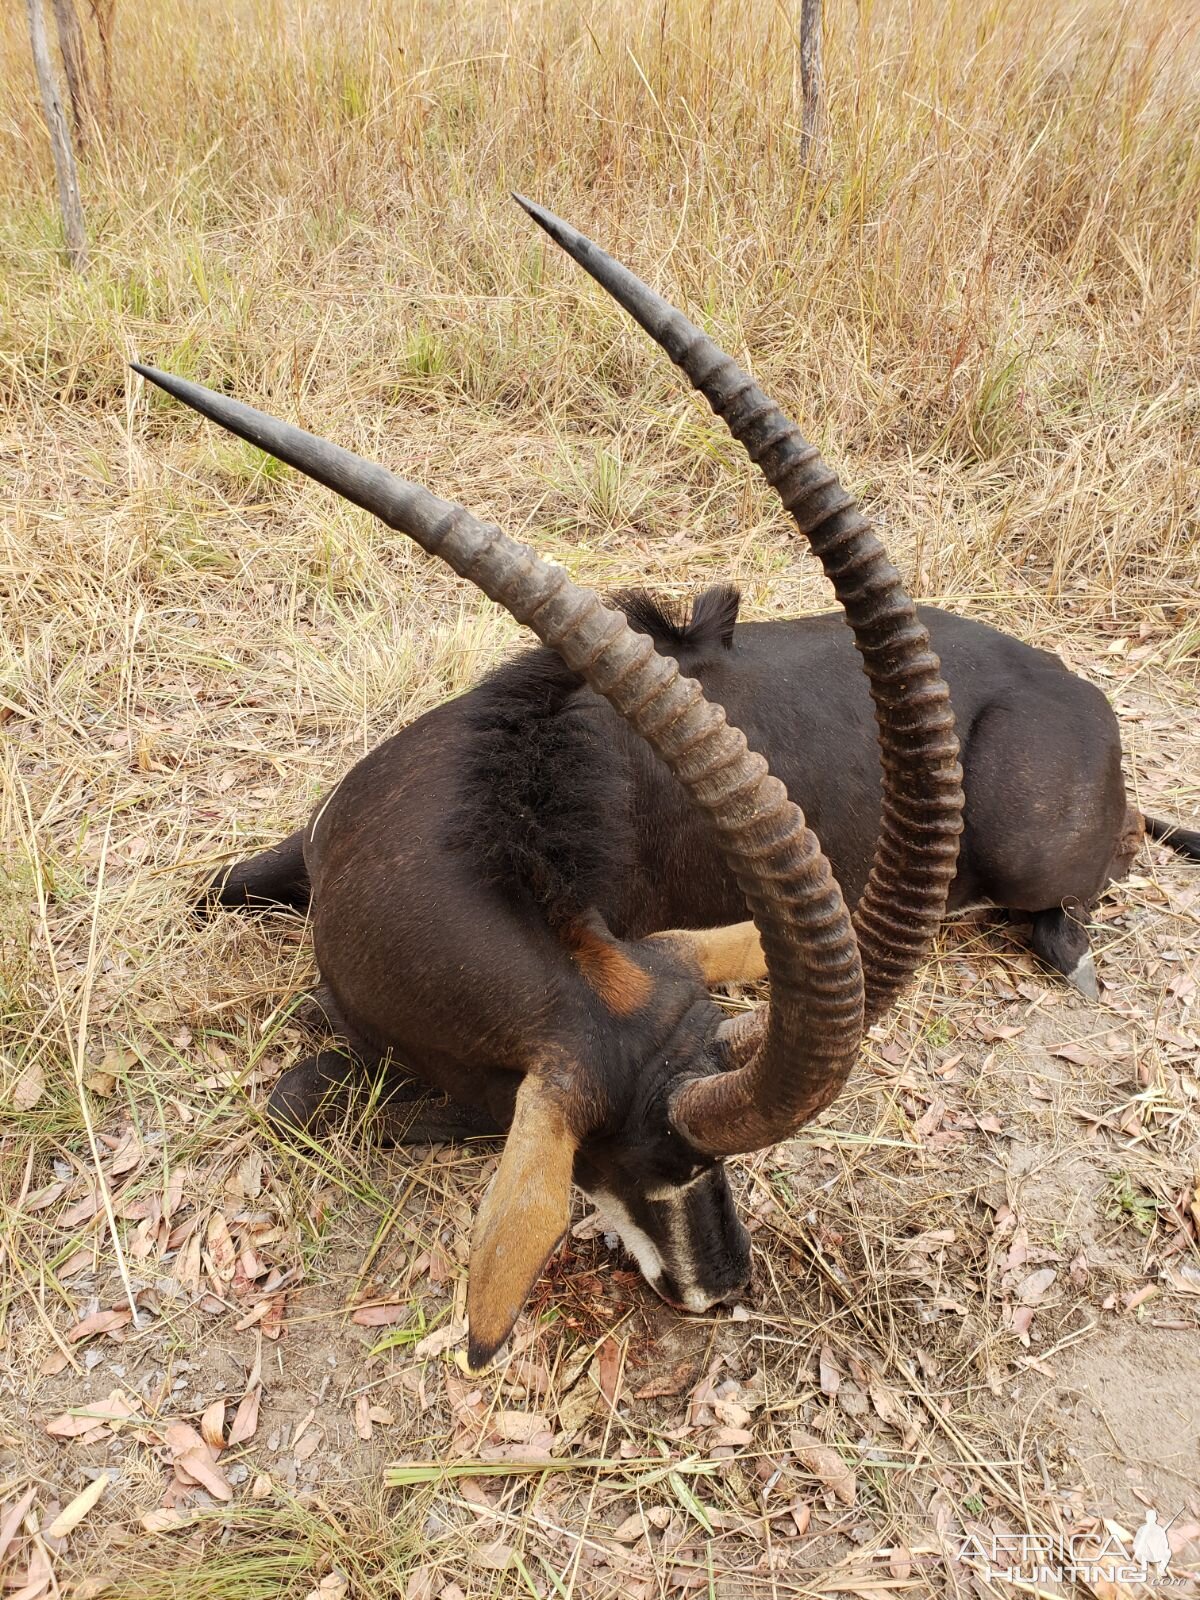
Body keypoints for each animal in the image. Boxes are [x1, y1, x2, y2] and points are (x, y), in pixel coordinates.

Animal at [136, 200, 1196, 1369]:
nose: (722, 1289)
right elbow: (215, 913)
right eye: (655, 1158)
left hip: (1023, 849)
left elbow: (317, 1095)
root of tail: (1077, 691)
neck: (455, 837)